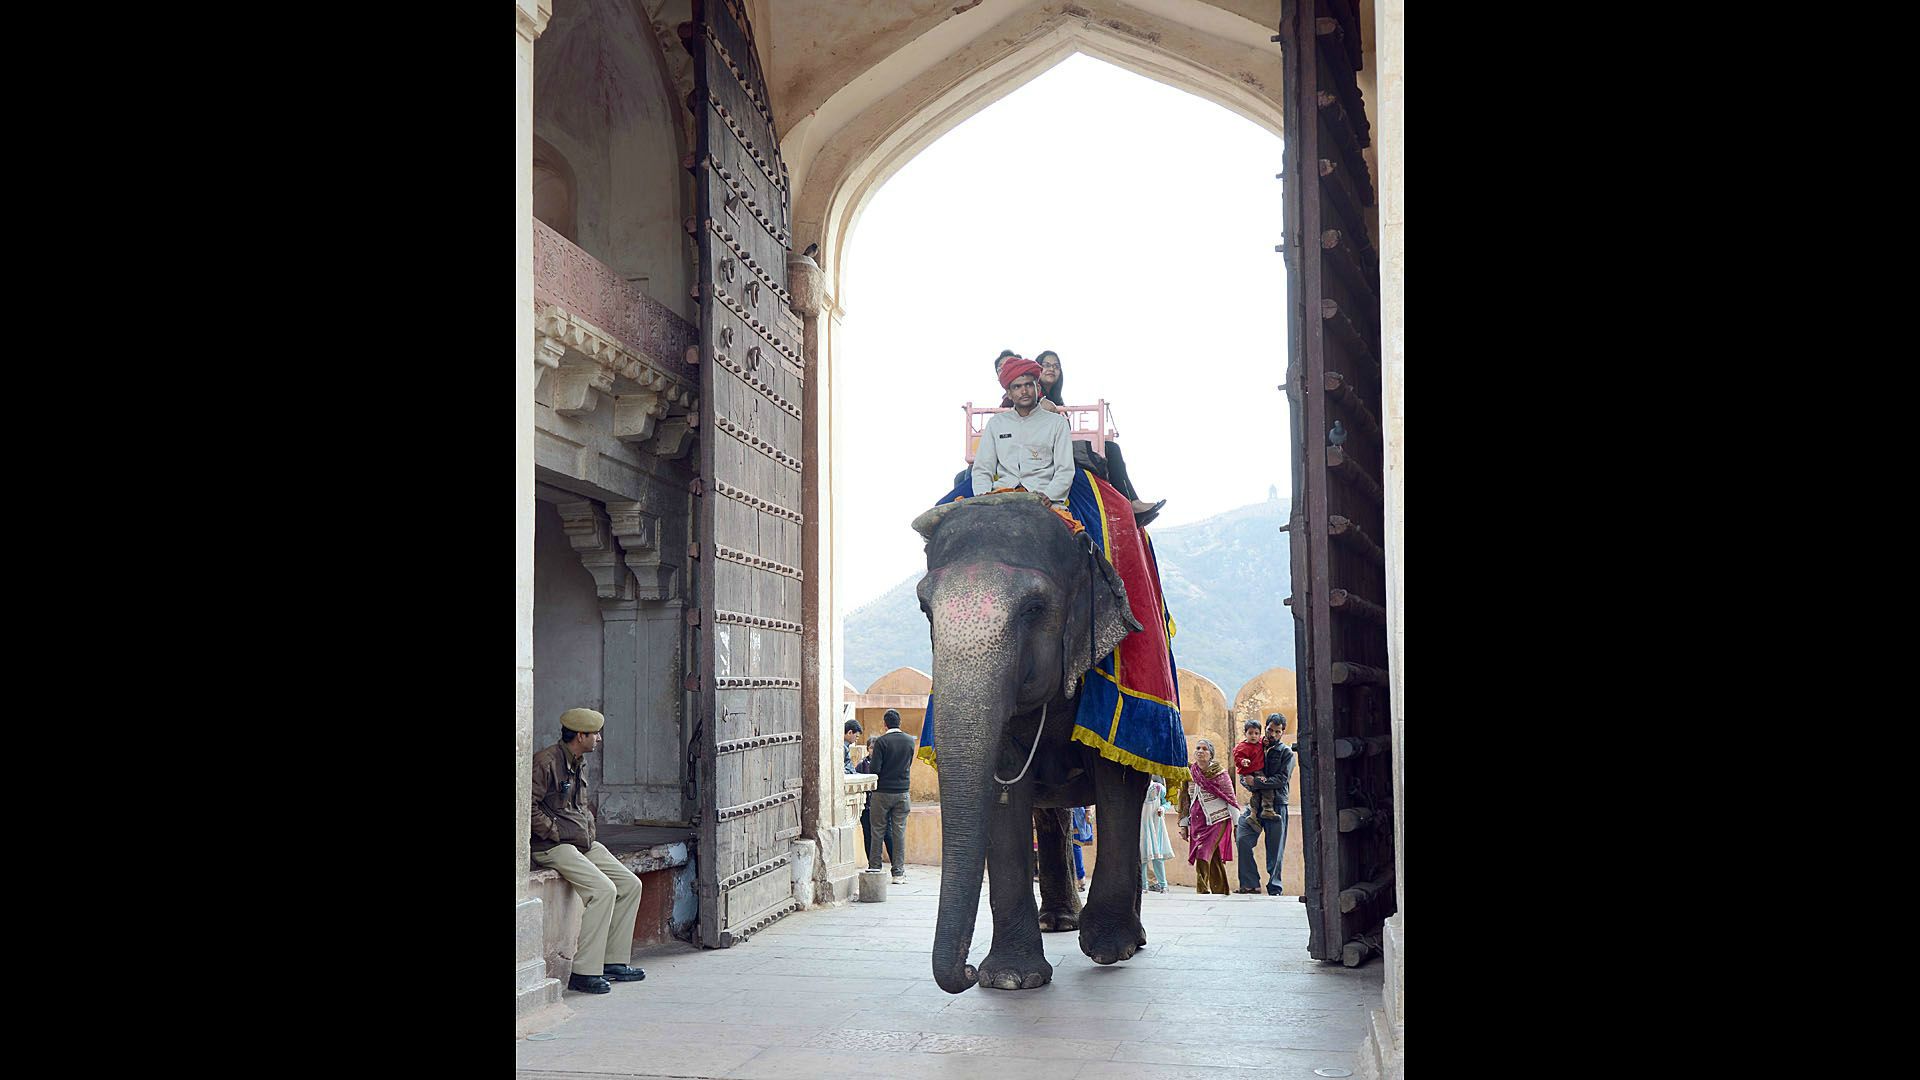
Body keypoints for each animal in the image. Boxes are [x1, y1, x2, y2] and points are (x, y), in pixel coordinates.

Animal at [913, 488, 1182, 991]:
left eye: (1034, 609)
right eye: (925, 610)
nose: (967, 969)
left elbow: (1118, 783)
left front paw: (1108, 949)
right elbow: (1004, 787)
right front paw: (1010, 978)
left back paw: (1130, 939)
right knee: (1051, 814)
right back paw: (1057, 923)